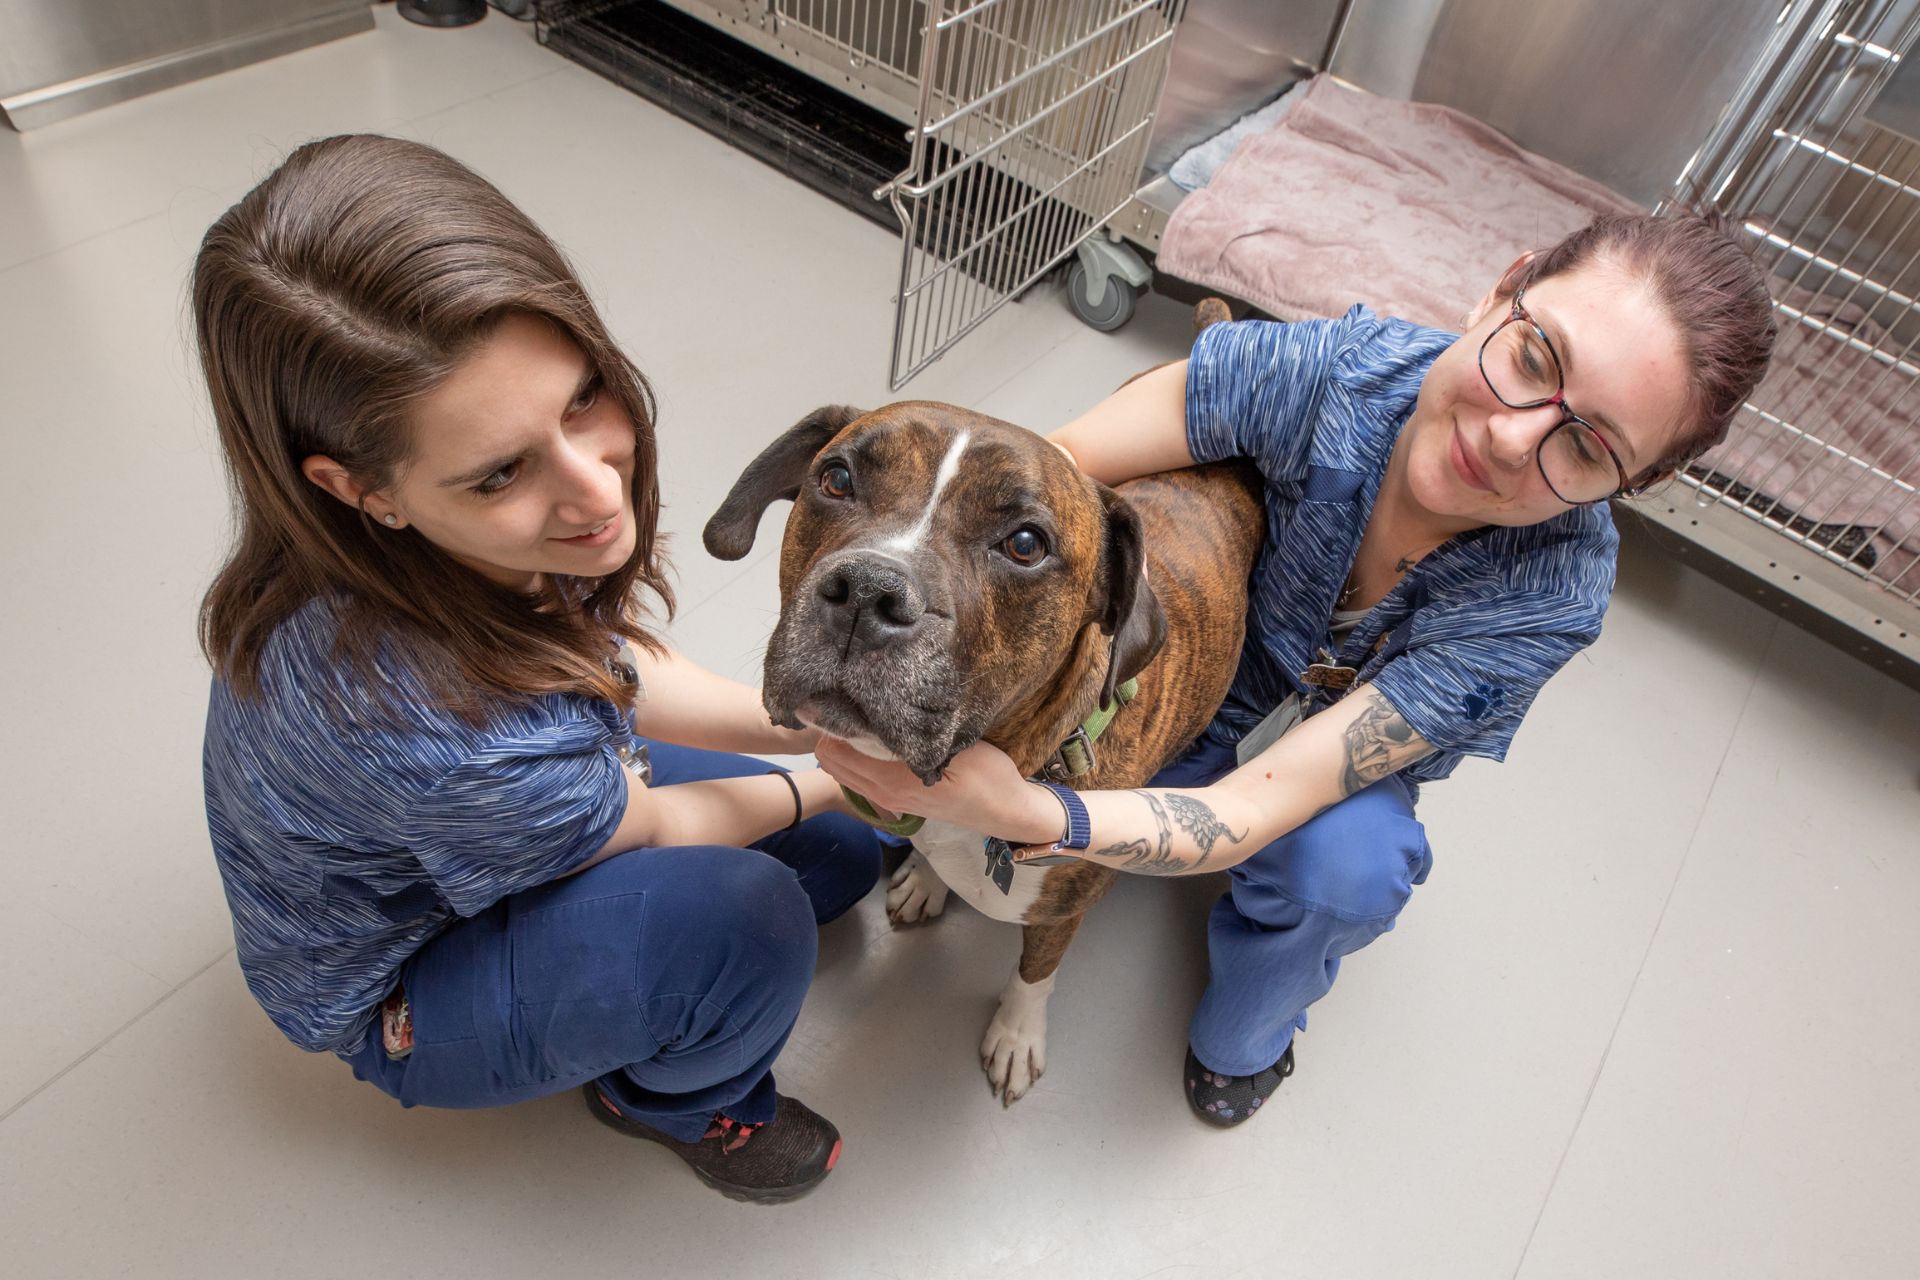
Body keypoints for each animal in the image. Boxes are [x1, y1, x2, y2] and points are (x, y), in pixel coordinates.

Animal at [702, 370, 1259, 1105]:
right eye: (837, 479)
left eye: (1025, 544)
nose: (867, 589)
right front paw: (925, 879)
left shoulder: (1061, 911)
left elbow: (1036, 973)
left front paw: (1017, 1035)